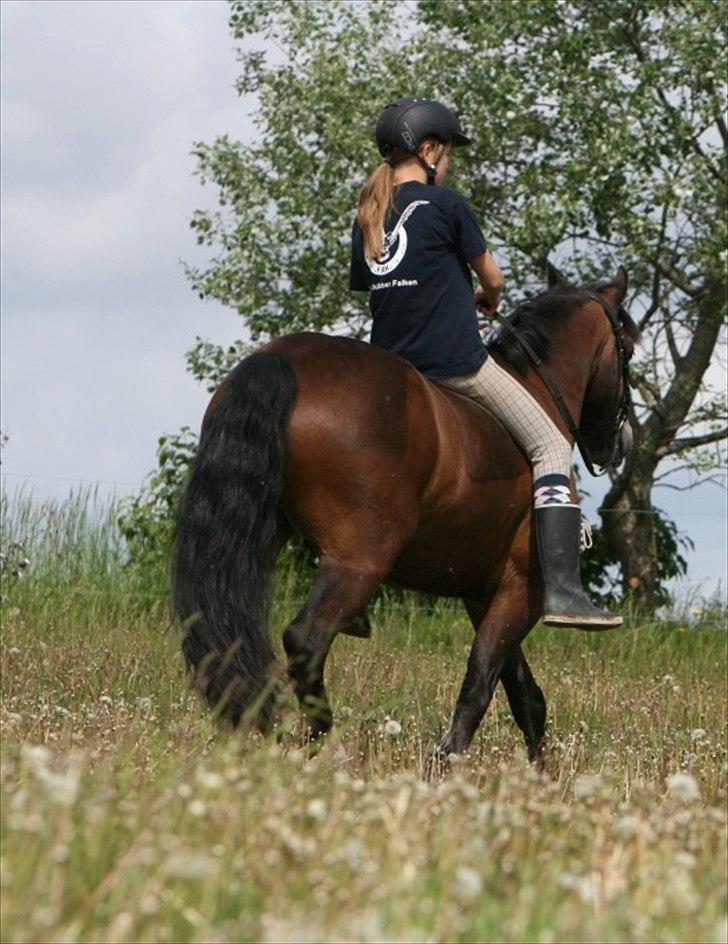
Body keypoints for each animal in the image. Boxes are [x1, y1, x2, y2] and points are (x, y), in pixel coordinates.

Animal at [172, 264, 636, 760]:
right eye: (629, 344)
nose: (619, 444)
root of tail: (284, 358)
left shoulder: (483, 592)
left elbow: (524, 695)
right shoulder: (521, 587)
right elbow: (480, 682)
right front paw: (450, 762)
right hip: (360, 559)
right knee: (306, 640)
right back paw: (323, 743)